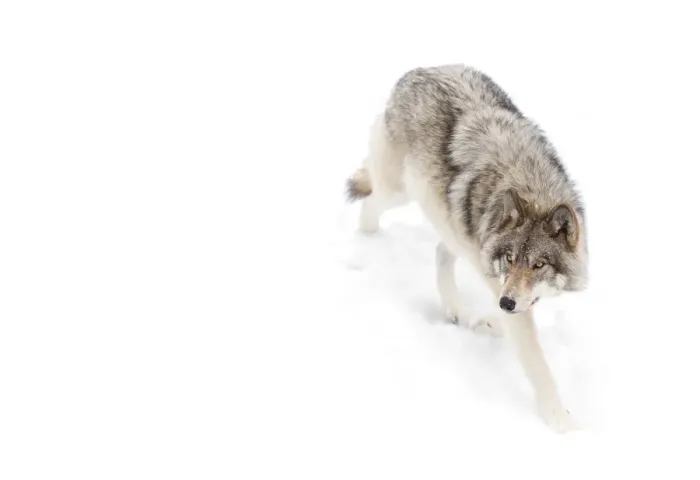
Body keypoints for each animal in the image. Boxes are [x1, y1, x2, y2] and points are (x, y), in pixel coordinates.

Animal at [345, 64, 588, 433]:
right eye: (510, 258)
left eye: (539, 265)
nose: (506, 302)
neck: (531, 188)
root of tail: (418, 70)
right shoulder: (502, 284)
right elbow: (537, 364)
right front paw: (562, 423)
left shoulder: (510, 289)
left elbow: (513, 319)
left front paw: (488, 323)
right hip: (398, 191)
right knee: (370, 203)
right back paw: (366, 243)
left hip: (445, 218)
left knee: (441, 251)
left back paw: (456, 310)